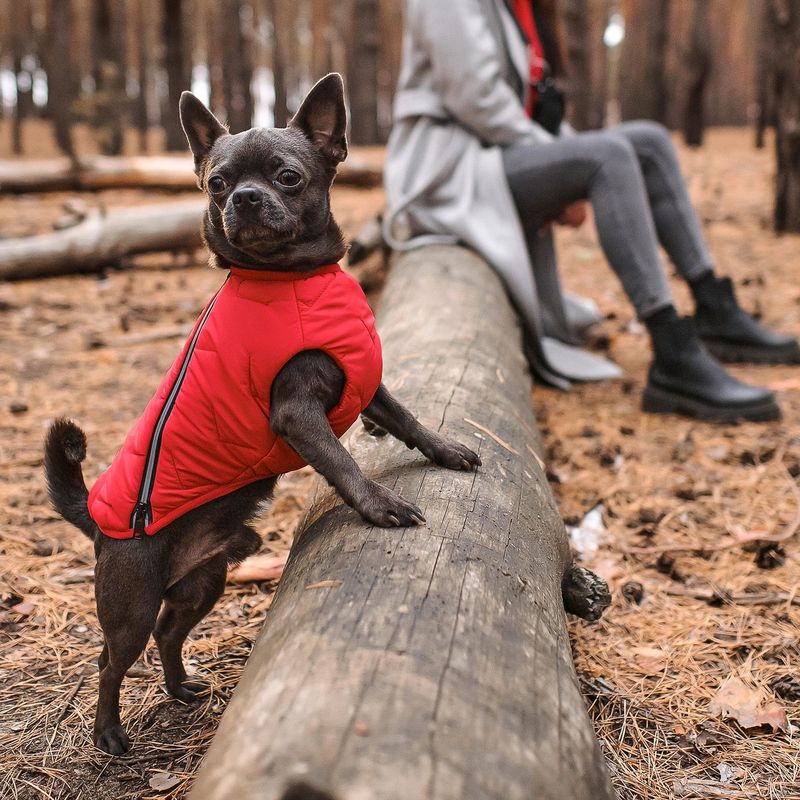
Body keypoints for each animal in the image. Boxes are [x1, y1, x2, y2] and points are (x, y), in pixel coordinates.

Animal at [45, 72, 482, 752]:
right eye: (217, 184)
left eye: (288, 176)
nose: (245, 198)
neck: (296, 278)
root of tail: (94, 517)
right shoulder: (299, 413)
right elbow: (342, 463)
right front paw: (379, 505)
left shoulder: (364, 381)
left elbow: (409, 420)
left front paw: (447, 451)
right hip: (130, 603)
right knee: (112, 660)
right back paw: (109, 733)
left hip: (205, 581)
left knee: (171, 632)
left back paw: (182, 688)